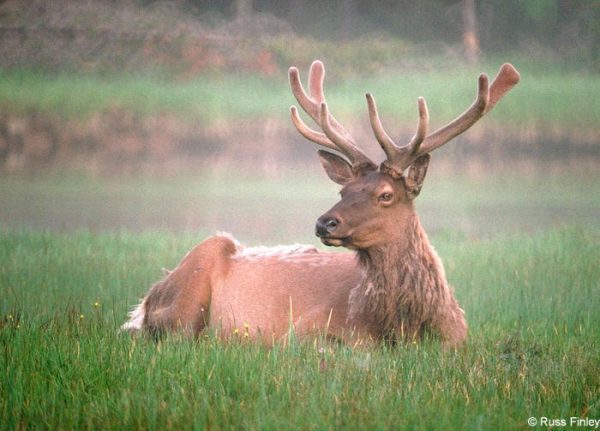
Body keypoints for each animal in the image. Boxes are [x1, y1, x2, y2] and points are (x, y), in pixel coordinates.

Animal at [123, 60, 520, 348]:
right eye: (344, 192)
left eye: (386, 195)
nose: (324, 223)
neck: (407, 328)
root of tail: (144, 304)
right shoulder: (306, 328)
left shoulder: (459, 340)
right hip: (189, 288)